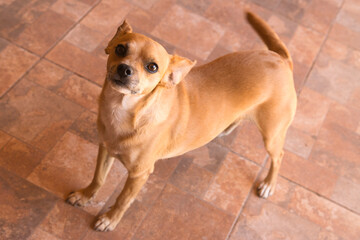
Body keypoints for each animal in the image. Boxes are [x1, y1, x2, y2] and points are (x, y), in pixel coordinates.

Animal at [66, 11, 296, 232]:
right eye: (120, 49)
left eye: (152, 67)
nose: (124, 69)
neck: (123, 111)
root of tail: (281, 59)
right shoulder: (105, 149)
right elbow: (98, 178)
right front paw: (85, 196)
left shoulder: (139, 174)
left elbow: (123, 200)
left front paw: (110, 220)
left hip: (272, 135)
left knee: (279, 156)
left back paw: (268, 184)